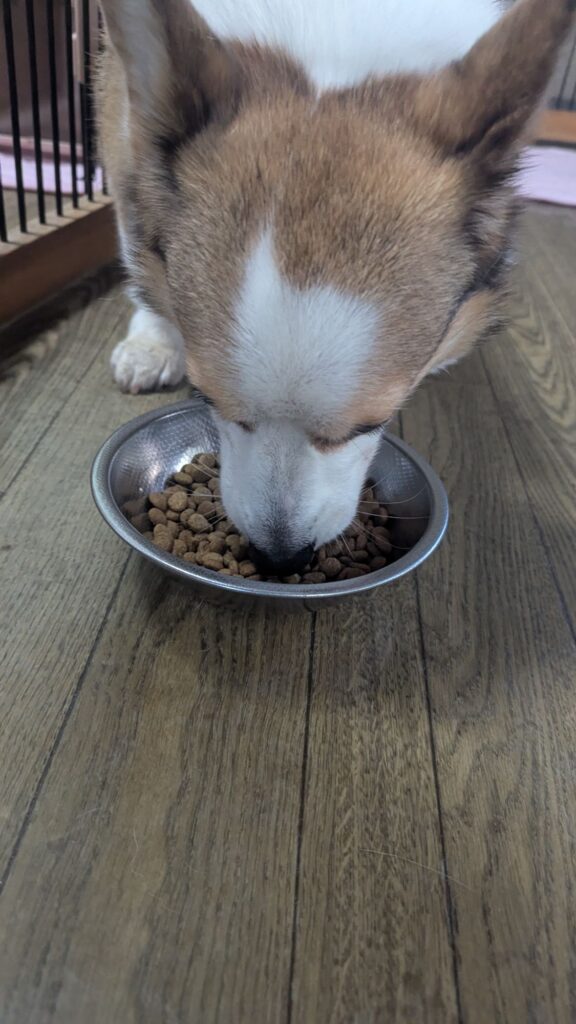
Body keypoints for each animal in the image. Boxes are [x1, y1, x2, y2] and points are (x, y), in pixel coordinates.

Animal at [97, 0, 572, 576]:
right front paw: (154, 338)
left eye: (375, 423)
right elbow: (136, 244)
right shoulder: (122, 125)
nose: (281, 558)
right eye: (205, 397)